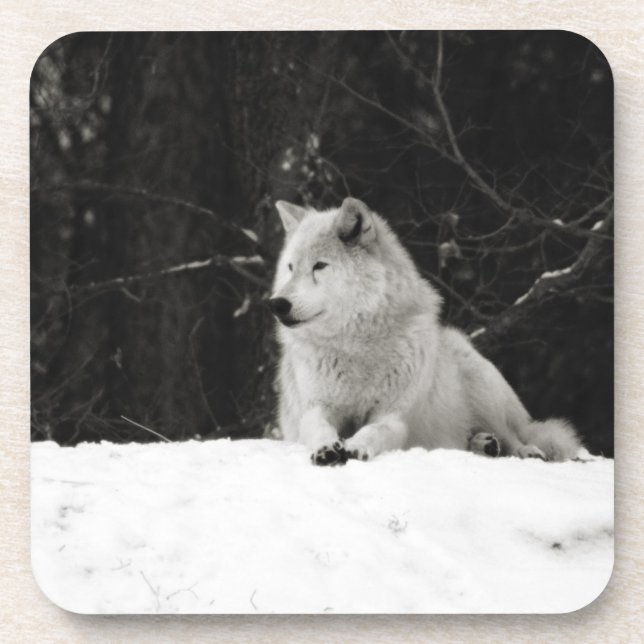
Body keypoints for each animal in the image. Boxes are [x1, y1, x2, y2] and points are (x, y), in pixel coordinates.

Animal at [269, 197, 583, 466]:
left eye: (320, 266)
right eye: (290, 267)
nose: (277, 304)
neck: (356, 348)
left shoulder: (393, 415)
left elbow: (374, 430)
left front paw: (355, 446)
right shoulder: (315, 408)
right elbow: (317, 428)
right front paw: (326, 448)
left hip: (482, 389)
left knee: (513, 436)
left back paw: (523, 450)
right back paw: (483, 444)